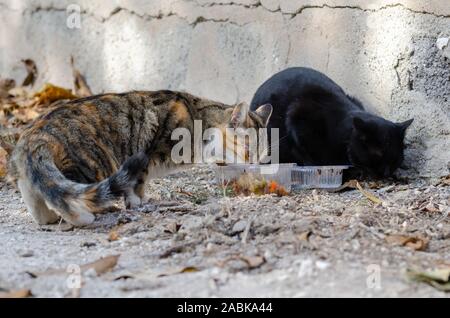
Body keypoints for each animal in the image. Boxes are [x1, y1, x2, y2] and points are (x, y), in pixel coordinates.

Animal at [9, 90, 270, 227]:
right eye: (248, 152)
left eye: (262, 155)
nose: (253, 167)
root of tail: (35, 136)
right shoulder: (149, 152)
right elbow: (138, 184)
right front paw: (139, 202)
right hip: (94, 162)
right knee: (69, 198)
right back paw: (86, 217)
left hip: (32, 180)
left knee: (45, 199)